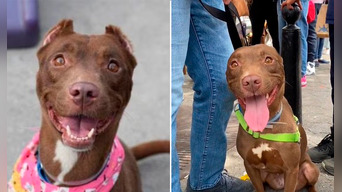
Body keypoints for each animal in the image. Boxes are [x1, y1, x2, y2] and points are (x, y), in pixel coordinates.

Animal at [226, 44, 320, 191]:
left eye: (268, 60)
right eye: (234, 64)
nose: (251, 81)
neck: (266, 126)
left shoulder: (291, 170)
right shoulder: (250, 167)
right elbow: (259, 188)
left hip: (310, 169)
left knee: (311, 184)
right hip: (264, 175)